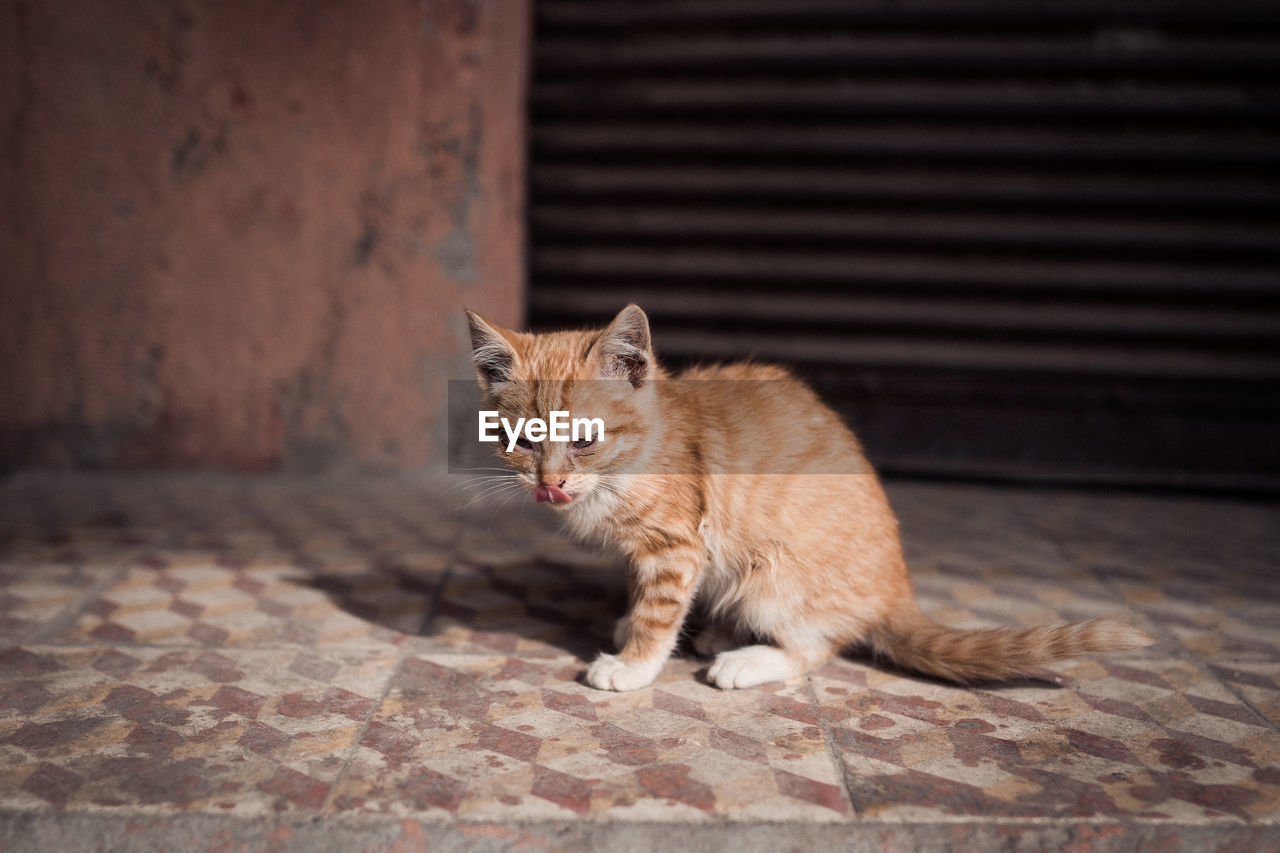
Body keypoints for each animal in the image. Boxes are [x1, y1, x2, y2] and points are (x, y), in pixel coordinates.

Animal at [463, 302, 1152, 686]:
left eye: (583, 439)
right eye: (520, 438)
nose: (550, 484)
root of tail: (895, 587)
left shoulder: (677, 547)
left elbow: (660, 613)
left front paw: (633, 665)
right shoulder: (653, 555)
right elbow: (645, 598)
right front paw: (630, 624)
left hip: (773, 577)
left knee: (820, 646)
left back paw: (747, 661)